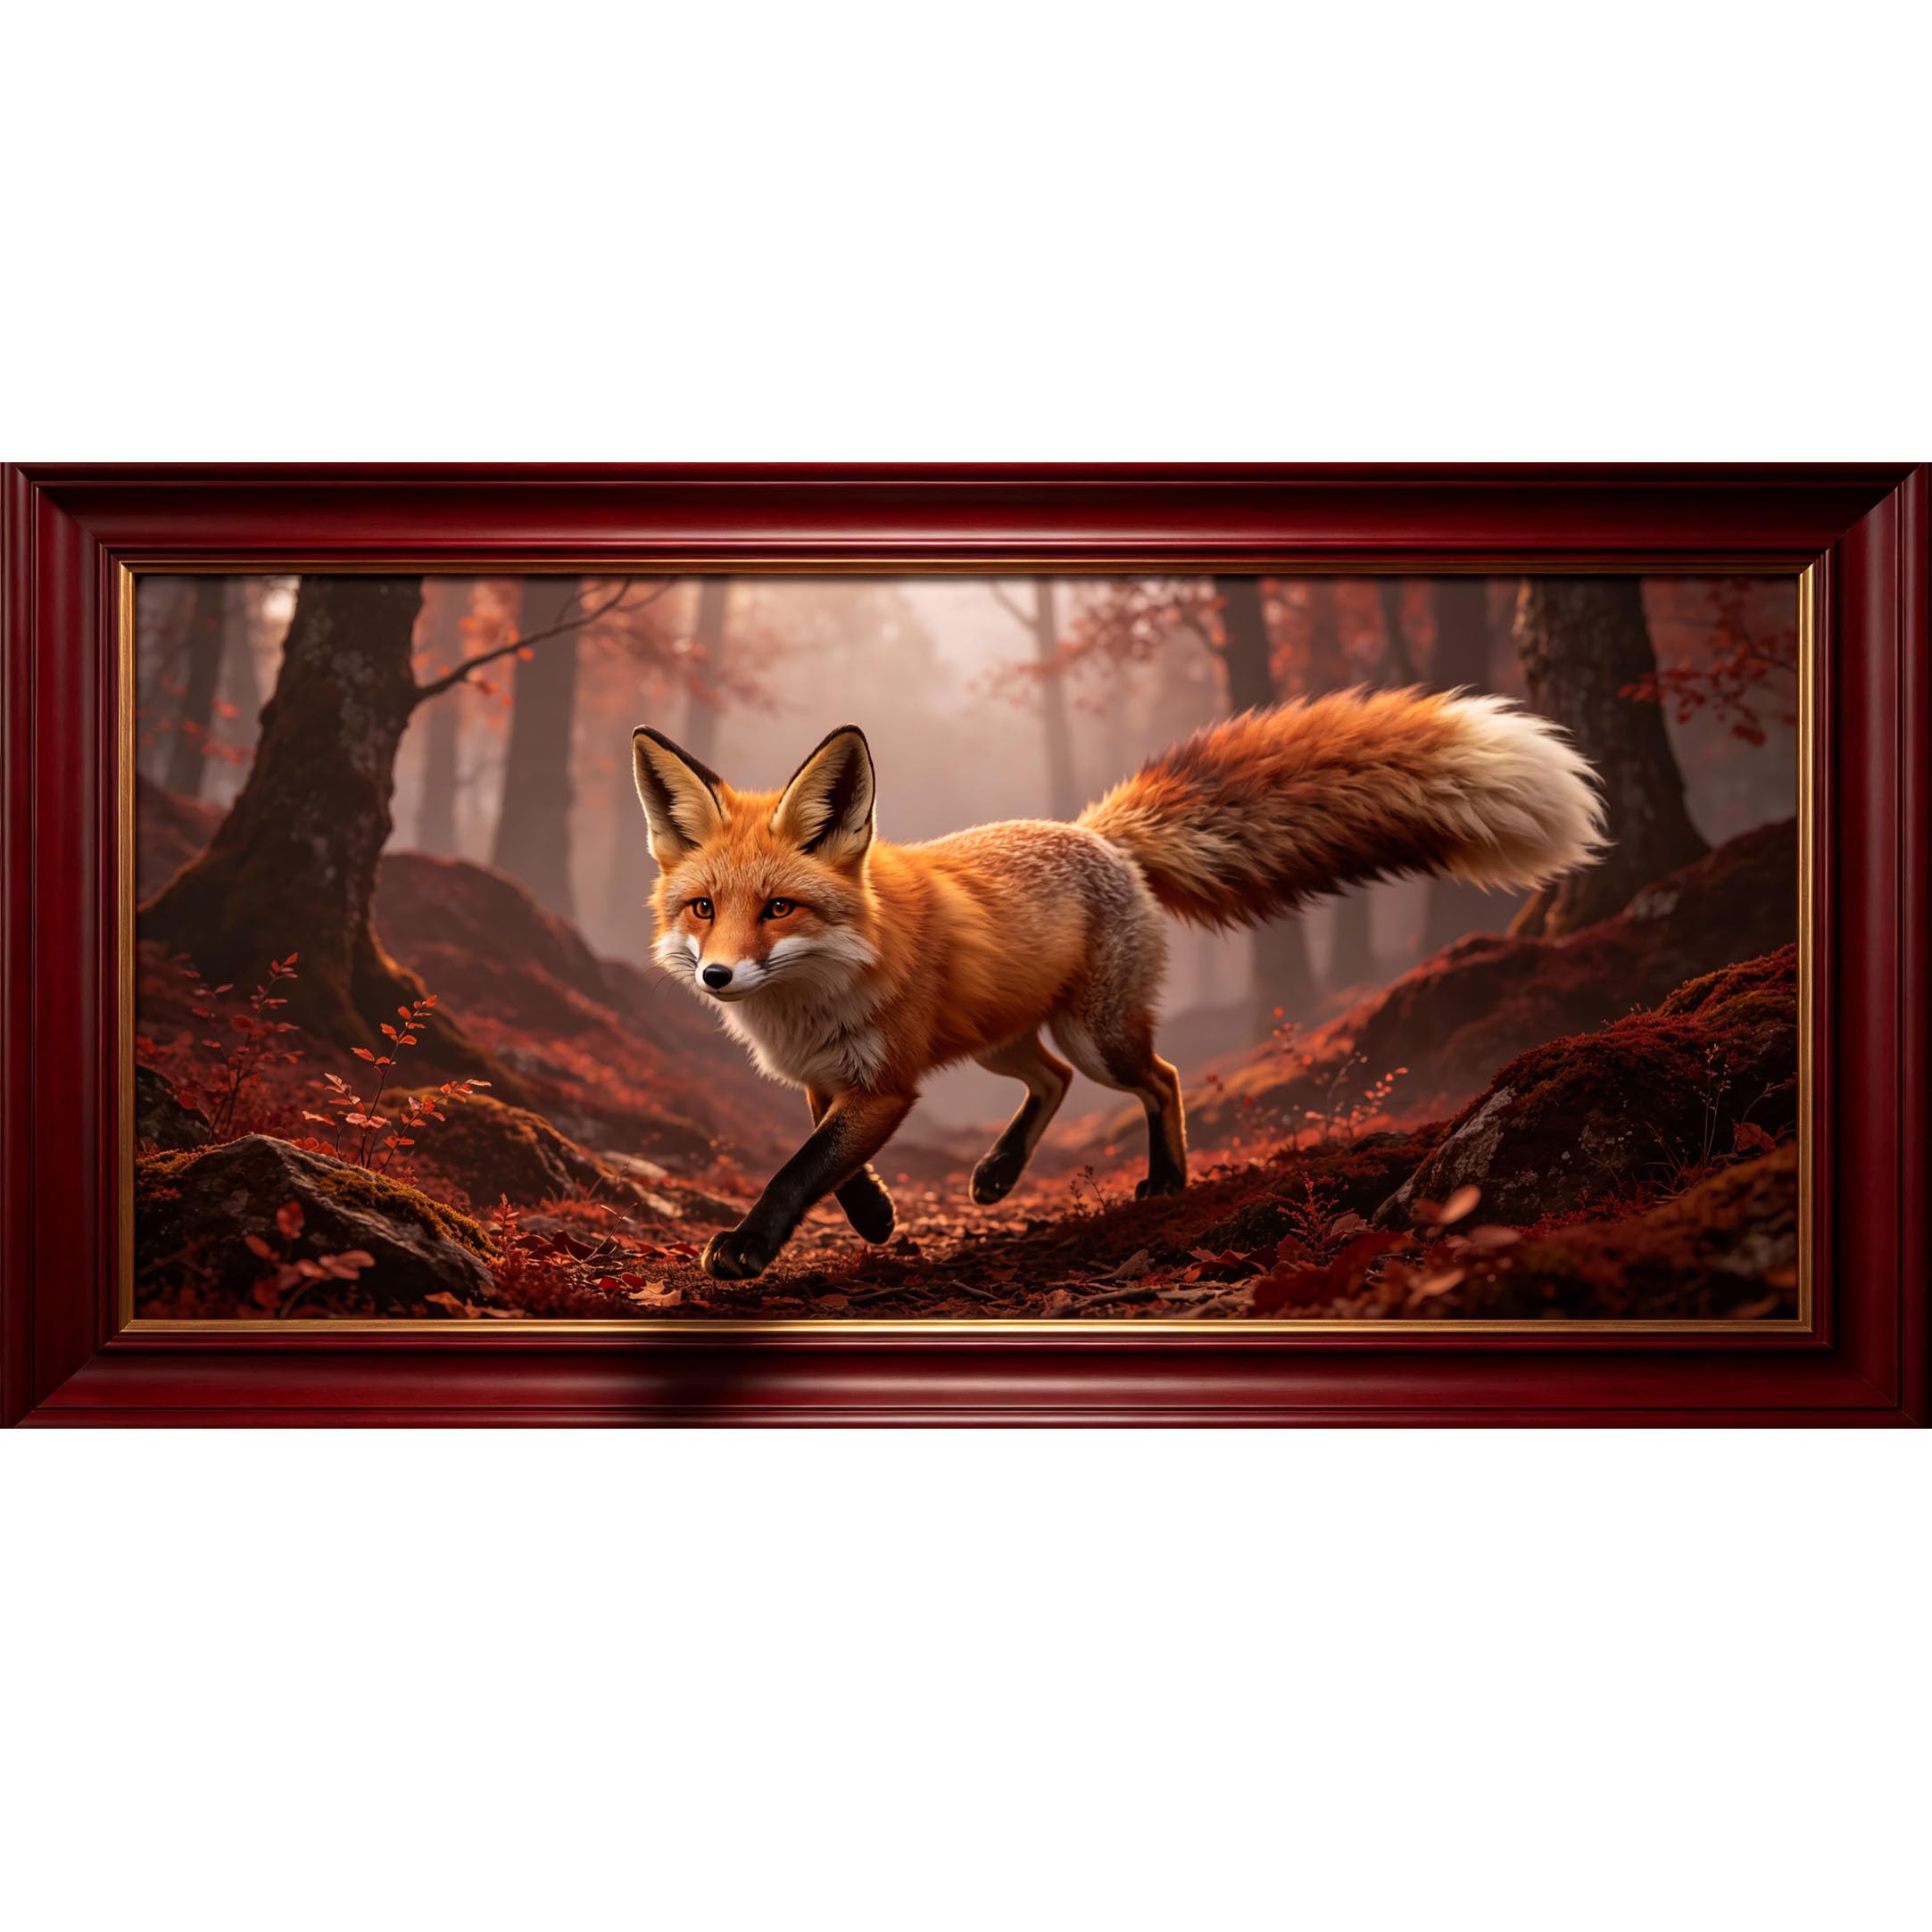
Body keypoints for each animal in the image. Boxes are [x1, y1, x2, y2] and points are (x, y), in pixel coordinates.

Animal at [631, 688, 1602, 1282]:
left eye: (779, 907)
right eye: (703, 907)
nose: (717, 973)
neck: (808, 997)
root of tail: (1097, 832)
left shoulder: (886, 1082)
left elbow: (803, 1165)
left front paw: (750, 1244)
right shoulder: (826, 1074)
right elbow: (828, 1161)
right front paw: (871, 1215)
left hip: (1097, 1038)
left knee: (1159, 1079)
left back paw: (1164, 1180)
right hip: (1006, 1041)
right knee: (1051, 1082)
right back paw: (998, 1172)